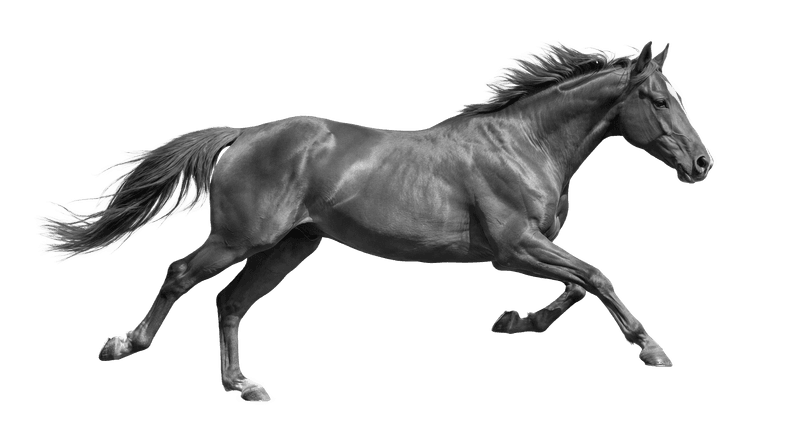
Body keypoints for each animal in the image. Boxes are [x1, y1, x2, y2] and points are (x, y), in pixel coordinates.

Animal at [36, 41, 714, 404]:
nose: (703, 163)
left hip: (291, 247)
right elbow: (596, 277)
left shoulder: (533, 247)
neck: (525, 144)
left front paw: (517, 321)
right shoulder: (514, 247)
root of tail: (240, 136)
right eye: (658, 99)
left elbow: (576, 287)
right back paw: (124, 344)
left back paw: (244, 385)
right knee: (180, 275)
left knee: (230, 303)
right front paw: (652, 349)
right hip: (240, 238)